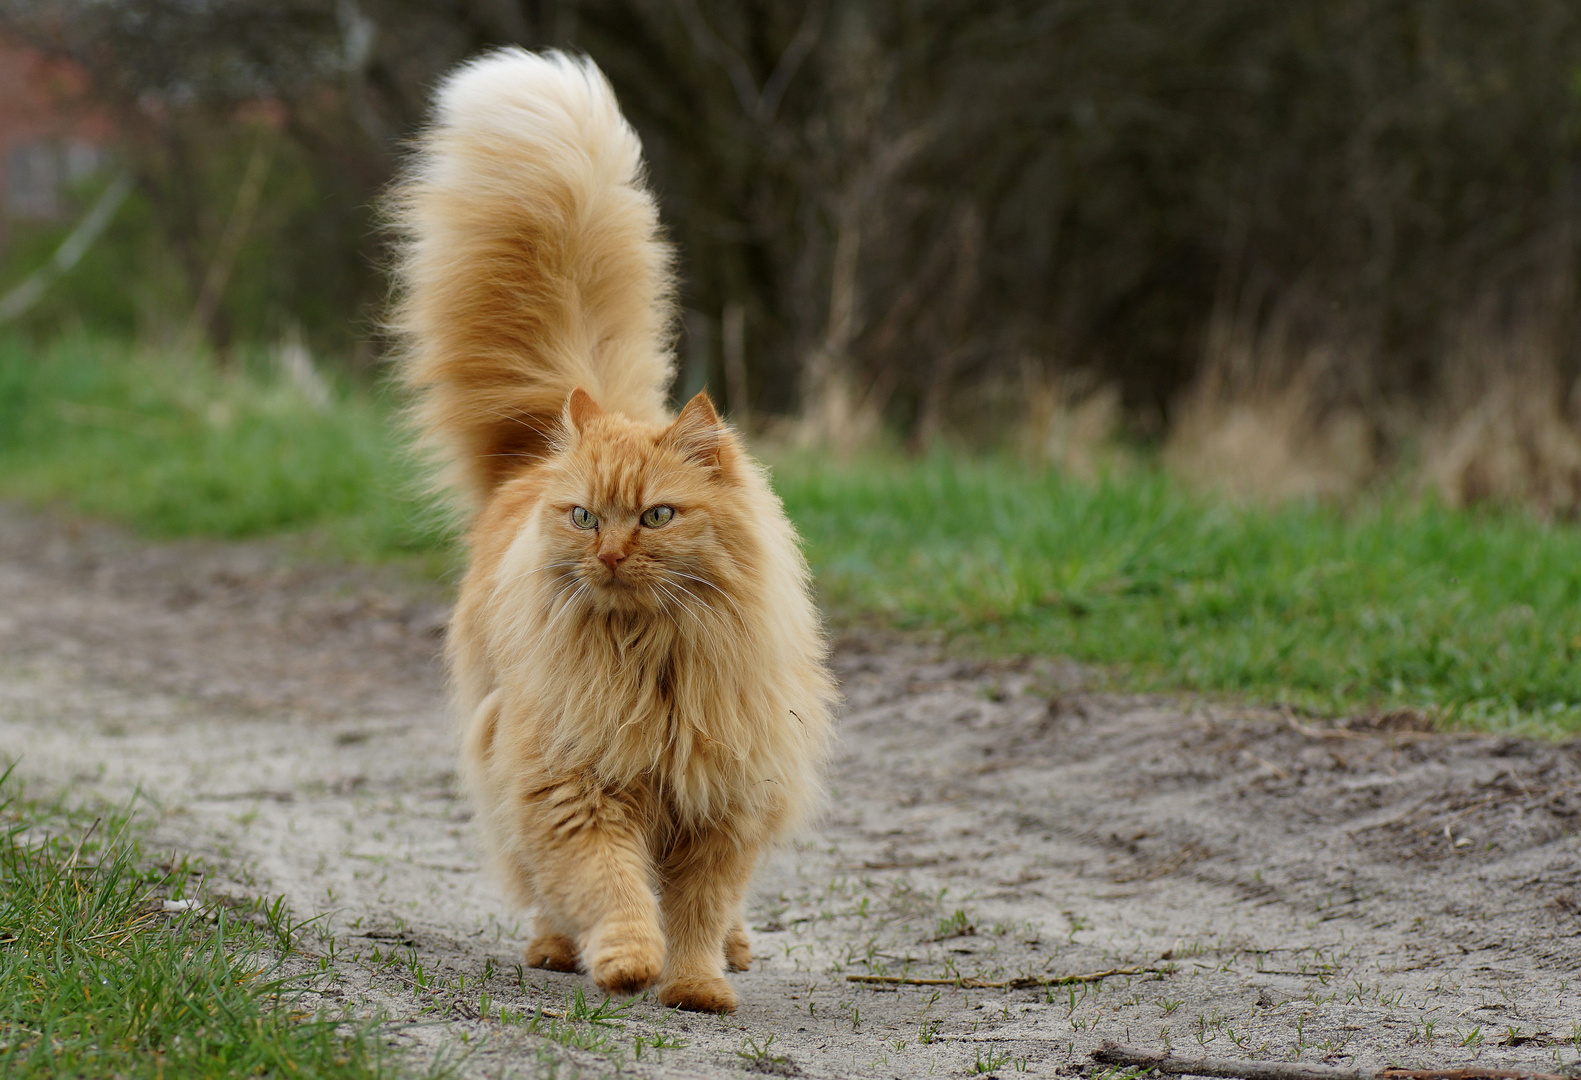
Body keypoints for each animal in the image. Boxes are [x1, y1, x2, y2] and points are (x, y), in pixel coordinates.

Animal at [390, 48, 841, 1012]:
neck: (653, 658)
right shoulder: (575, 785)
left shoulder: (722, 802)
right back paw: (557, 949)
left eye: (657, 516)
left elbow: (700, 908)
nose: (608, 551)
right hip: (501, 749)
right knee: (540, 885)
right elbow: (614, 887)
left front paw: (699, 984)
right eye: (586, 515)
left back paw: (734, 950)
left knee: (723, 910)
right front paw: (630, 962)